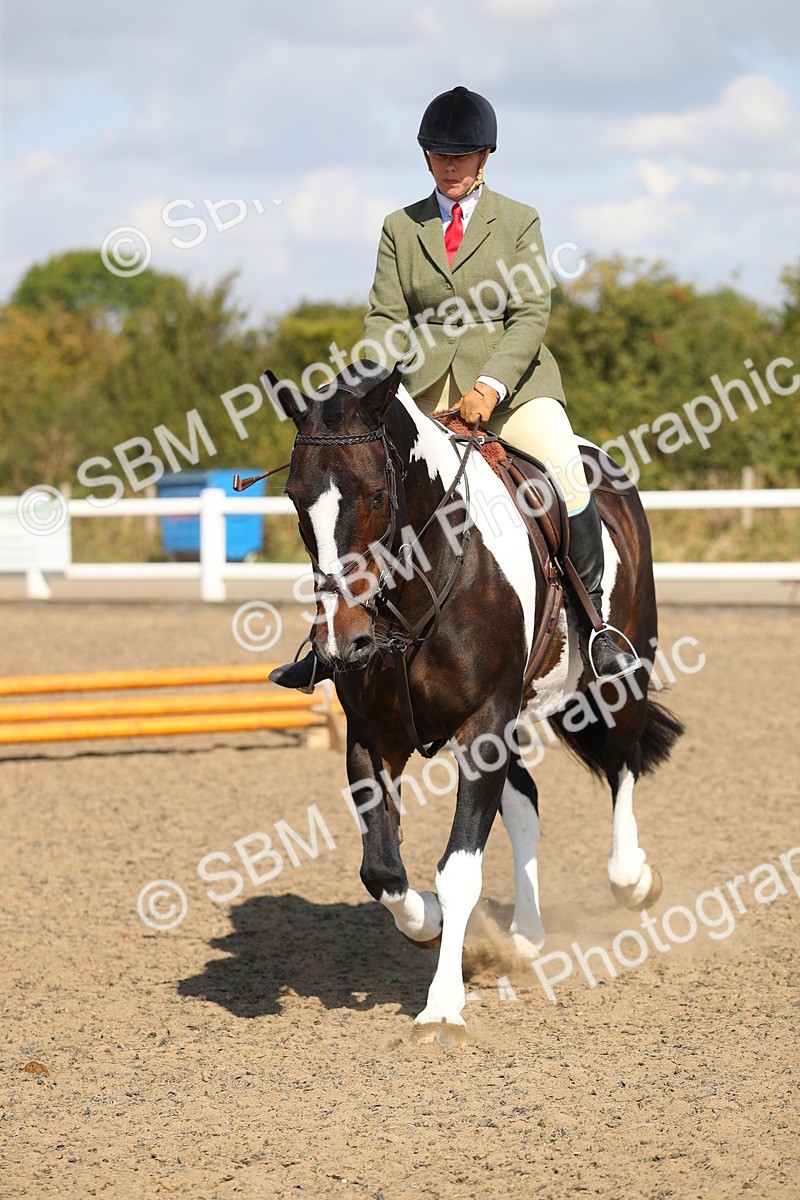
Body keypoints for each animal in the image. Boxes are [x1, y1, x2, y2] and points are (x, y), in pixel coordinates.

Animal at [265, 359, 684, 1045]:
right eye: (297, 500)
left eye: (375, 496)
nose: (342, 645)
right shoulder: (373, 737)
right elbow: (383, 872)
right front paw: (432, 924)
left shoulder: (483, 726)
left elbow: (459, 867)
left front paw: (442, 1009)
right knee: (526, 803)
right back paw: (526, 937)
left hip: (615, 680)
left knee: (623, 764)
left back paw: (634, 880)